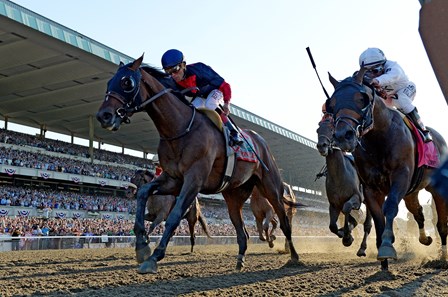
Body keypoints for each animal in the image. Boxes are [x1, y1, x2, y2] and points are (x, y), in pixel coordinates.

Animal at [95, 55, 298, 272]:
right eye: (109, 82)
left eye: (127, 82)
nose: (103, 116)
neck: (180, 129)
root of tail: (261, 141)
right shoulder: (173, 179)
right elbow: (143, 193)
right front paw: (142, 246)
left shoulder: (194, 179)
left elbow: (174, 216)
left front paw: (154, 256)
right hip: (234, 194)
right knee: (241, 229)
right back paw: (240, 260)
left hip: (271, 186)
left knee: (284, 222)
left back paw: (293, 256)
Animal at [316, 116, 372, 256]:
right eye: (317, 130)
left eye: (332, 129)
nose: (321, 146)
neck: (339, 175)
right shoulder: (334, 204)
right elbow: (332, 226)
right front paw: (345, 233)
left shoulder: (356, 199)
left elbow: (347, 208)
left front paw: (347, 237)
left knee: (367, 224)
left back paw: (362, 248)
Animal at [326, 69, 448, 268]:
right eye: (332, 103)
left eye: (362, 98)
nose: (343, 136)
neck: (379, 138)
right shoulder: (370, 188)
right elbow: (378, 219)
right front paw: (383, 259)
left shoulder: (400, 177)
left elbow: (389, 207)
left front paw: (386, 246)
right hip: (411, 193)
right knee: (419, 213)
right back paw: (425, 239)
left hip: (436, 189)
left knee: (442, 224)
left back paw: (443, 257)